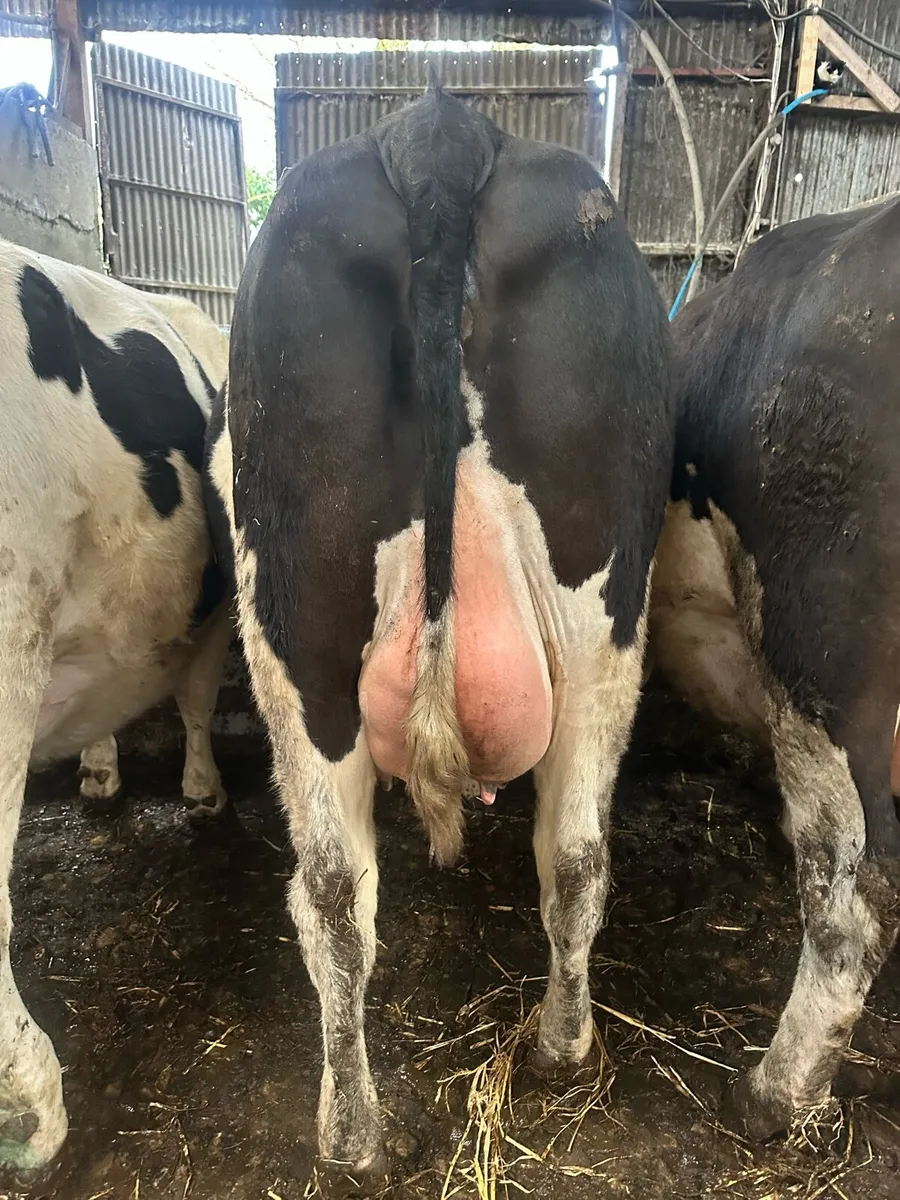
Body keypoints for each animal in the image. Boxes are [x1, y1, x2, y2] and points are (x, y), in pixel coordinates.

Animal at [206, 86, 673, 1192]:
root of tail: (439, 126)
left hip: (299, 618)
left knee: (344, 890)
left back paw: (359, 1129)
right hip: (598, 624)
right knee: (565, 856)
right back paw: (549, 1053)